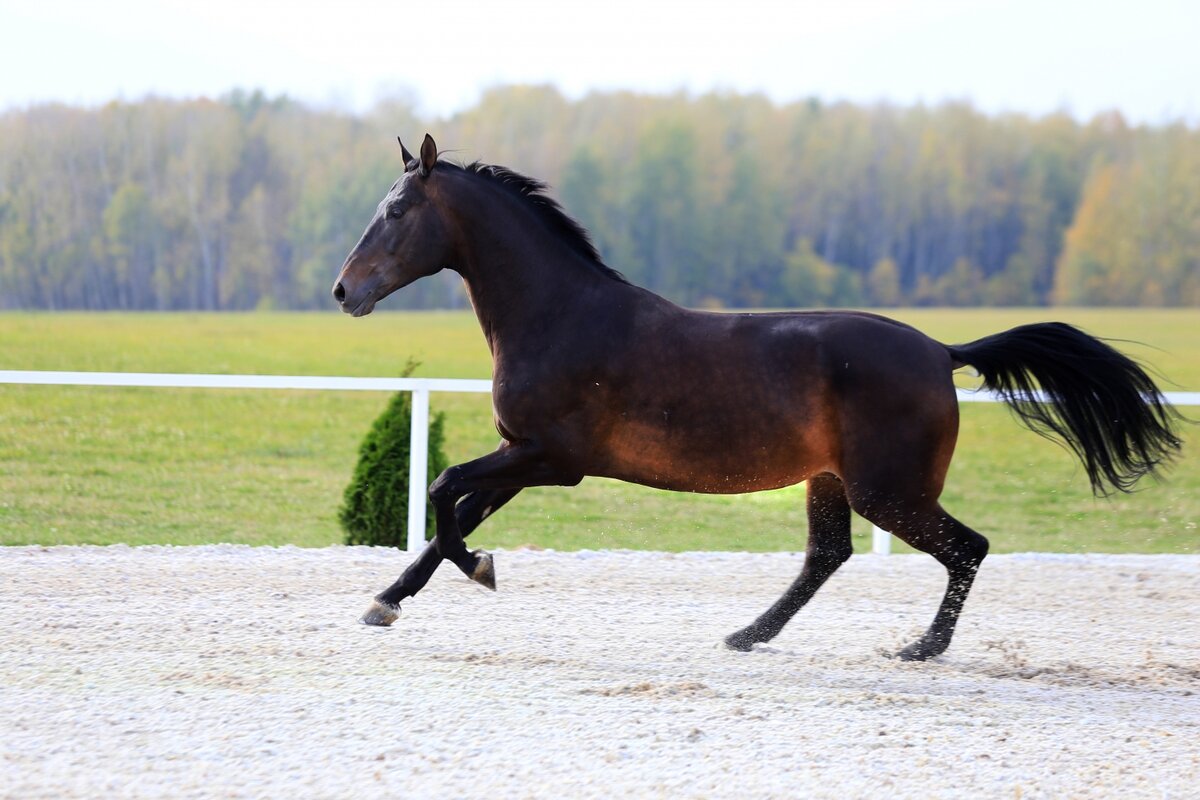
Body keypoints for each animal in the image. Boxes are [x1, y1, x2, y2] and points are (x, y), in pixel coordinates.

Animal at [331, 134, 1180, 662]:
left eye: (397, 211)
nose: (343, 291)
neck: (560, 315)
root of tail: (942, 352)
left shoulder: (550, 458)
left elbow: (443, 490)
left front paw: (476, 572)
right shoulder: (522, 454)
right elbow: (451, 516)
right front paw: (388, 599)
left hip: (889, 491)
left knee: (966, 549)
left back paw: (919, 646)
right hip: (833, 481)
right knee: (829, 556)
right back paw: (749, 634)